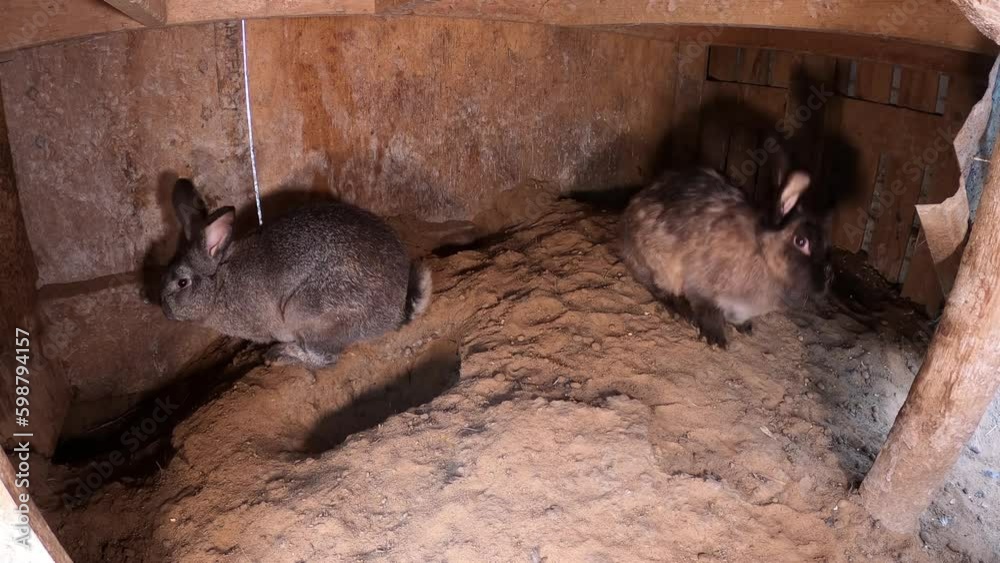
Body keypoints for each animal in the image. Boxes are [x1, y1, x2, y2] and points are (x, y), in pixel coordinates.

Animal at [160, 179, 432, 367]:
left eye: (182, 282)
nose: (165, 310)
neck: (219, 284)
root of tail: (395, 313)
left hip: (304, 310)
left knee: (325, 359)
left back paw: (280, 355)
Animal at [620, 166, 832, 348]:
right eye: (801, 241)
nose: (829, 277)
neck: (762, 253)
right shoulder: (702, 287)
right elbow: (709, 312)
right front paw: (716, 339)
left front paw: (745, 328)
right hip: (658, 266)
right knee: (657, 288)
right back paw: (680, 311)